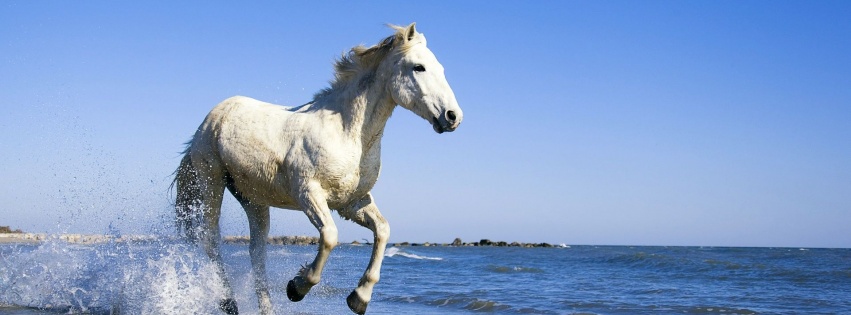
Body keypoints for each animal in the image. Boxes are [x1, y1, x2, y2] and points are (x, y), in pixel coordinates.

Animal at [172, 22, 462, 315]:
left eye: (441, 68)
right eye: (418, 67)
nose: (453, 117)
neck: (346, 132)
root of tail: (213, 116)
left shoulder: (352, 202)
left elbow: (383, 231)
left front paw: (359, 298)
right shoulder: (308, 193)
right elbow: (330, 236)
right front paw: (296, 287)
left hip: (254, 199)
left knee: (257, 252)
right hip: (212, 181)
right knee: (211, 240)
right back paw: (228, 302)